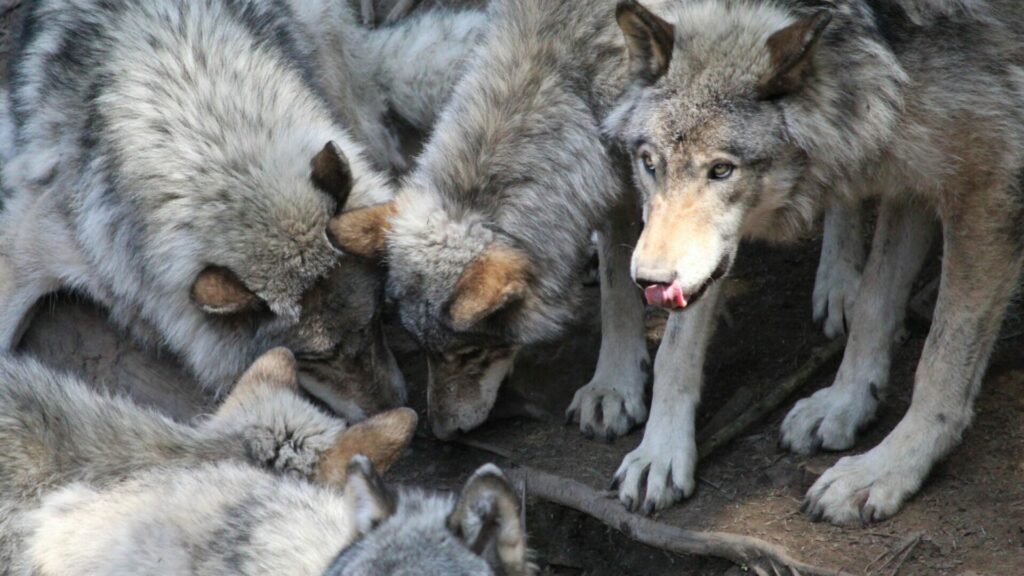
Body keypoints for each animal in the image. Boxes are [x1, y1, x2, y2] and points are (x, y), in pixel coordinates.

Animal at [606, 1, 1024, 520]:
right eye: (649, 163)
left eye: (721, 170)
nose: (649, 280)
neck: (881, 49)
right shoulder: (913, 174)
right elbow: (873, 305)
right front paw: (846, 404)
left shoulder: (987, 189)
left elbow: (941, 362)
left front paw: (885, 469)